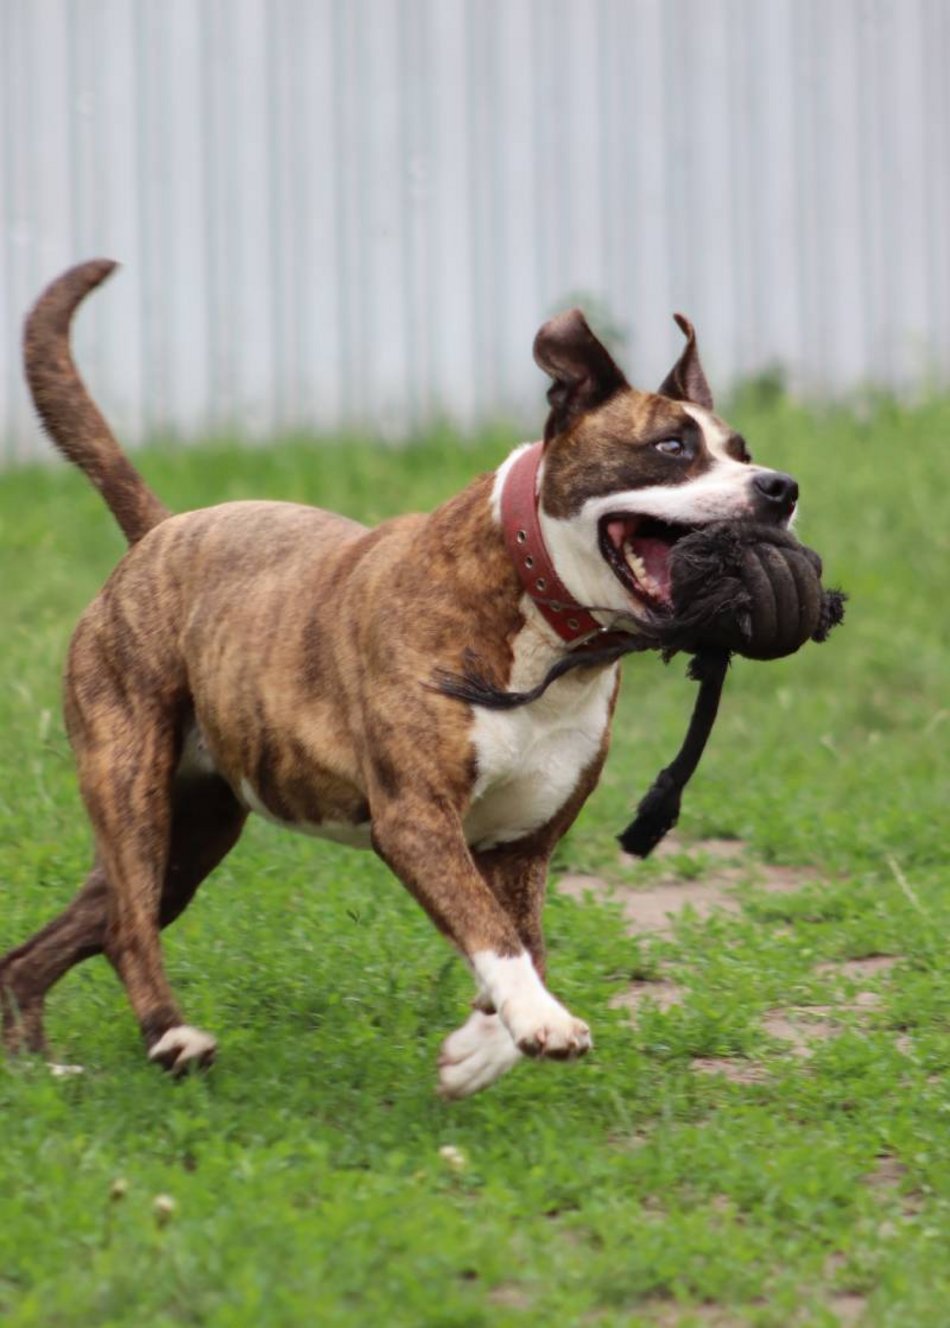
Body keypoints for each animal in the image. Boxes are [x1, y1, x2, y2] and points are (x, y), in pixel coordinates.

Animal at [0, 258, 797, 1099]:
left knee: (63, 937)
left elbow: (527, 944)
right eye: (673, 446)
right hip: (130, 782)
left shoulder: (526, 846)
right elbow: (493, 933)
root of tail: (161, 532)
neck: (542, 624)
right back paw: (170, 1034)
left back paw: (36, 1066)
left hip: (189, 834)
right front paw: (537, 1021)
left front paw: (481, 1049)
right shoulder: (417, 823)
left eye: (743, 450)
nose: (780, 487)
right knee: (127, 926)